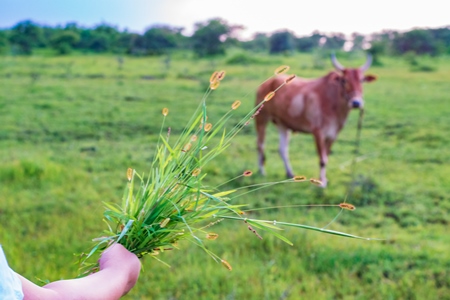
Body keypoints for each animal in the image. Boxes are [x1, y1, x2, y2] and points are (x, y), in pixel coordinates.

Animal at [253, 53, 376, 185]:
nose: (356, 103)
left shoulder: (333, 134)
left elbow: (326, 157)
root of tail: (266, 83)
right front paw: (321, 183)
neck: (333, 103)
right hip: (261, 119)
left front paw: (324, 179)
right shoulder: (318, 132)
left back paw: (290, 173)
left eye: (362, 80)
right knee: (260, 144)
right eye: (344, 80)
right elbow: (322, 159)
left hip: (283, 125)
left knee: (282, 149)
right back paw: (262, 171)